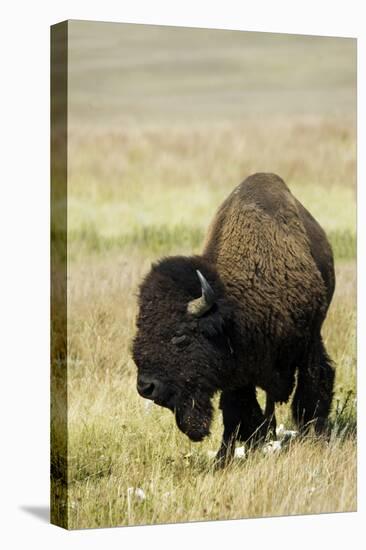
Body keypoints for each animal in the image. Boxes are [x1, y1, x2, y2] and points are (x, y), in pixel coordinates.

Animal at [132, 172, 334, 466]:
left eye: (180, 337)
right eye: (140, 329)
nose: (146, 387)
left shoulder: (309, 343)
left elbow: (312, 389)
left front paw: (315, 437)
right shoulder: (237, 372)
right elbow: (236, 412)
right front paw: (225, 457)